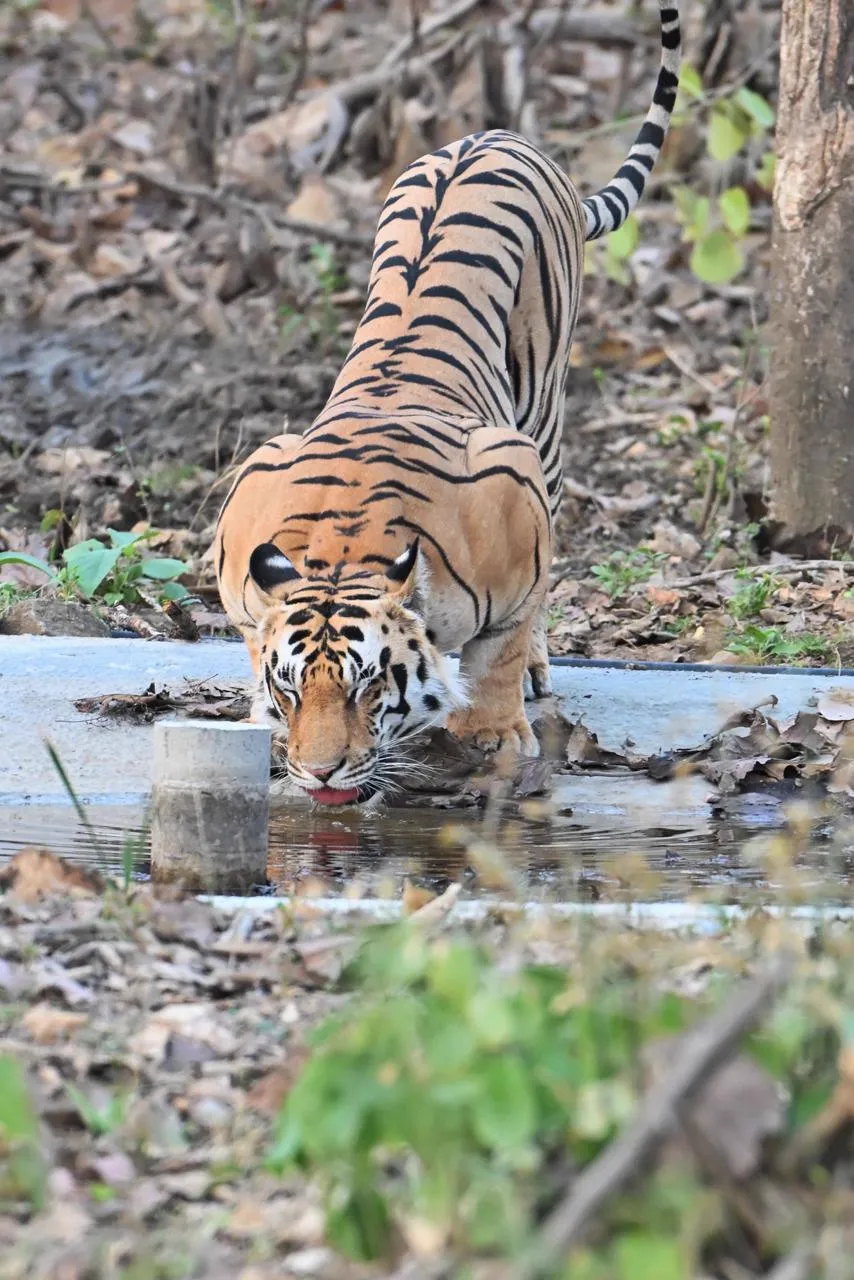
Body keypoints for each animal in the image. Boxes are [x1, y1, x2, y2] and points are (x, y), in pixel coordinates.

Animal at [215, 1, 681, 806]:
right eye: (291, 689)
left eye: (368, 688)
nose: (319, 771)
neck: (340, 548)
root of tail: (494, 134)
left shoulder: (516, 491)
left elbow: (500, 649)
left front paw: (491, 735)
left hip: (544, 424)